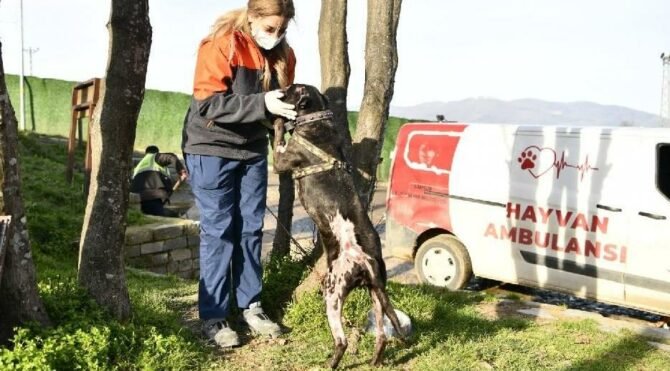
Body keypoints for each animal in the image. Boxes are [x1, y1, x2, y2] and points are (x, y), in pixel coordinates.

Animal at [274, 83, 410, 370]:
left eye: (291, 88)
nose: (278, 90)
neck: (316, 121)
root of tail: (365, 260)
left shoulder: (282, 161)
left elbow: (279, 139)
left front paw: (279, 120)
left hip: (333, 293)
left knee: (342, 341)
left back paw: (330, 364)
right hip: (376, 293)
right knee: (382, 335)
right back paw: (375, 360)